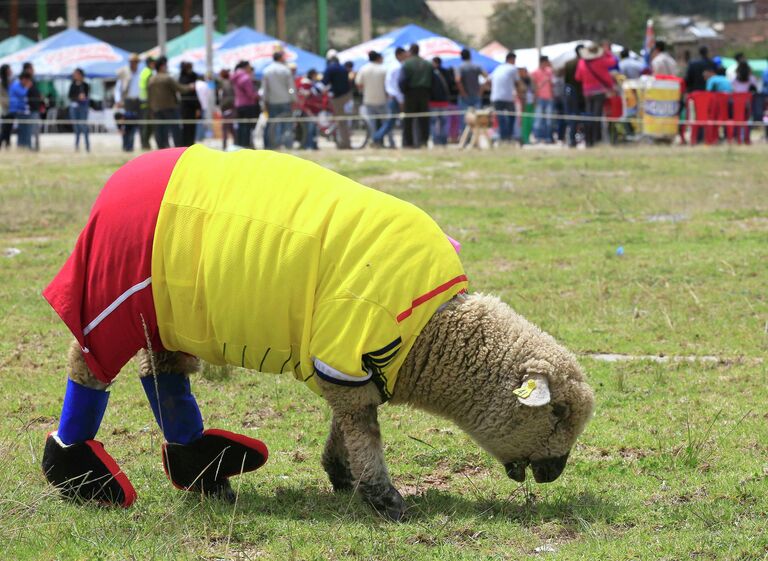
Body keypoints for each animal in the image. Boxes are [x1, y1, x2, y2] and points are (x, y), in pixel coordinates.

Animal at [40, 144, 592, 520]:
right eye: (557, 413)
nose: (555, 473)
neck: (429, 333)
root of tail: (122, 175)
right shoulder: (347, 345)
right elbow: (365, 431)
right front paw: (384, 499)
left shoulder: (349, 366)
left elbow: (348, 422)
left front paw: (340, 473)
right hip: (115, 294)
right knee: (88, 369)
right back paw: (82, 477)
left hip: (169, 315)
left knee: (164, 377)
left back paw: (207, 471)